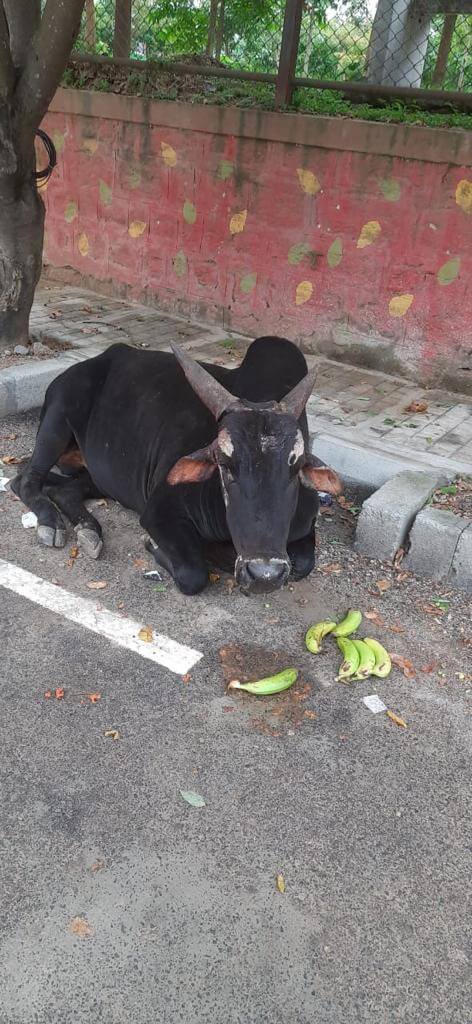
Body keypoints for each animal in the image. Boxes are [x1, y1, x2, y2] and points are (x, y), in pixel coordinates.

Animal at [11, 333, 341, 593]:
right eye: (224, 464)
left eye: (295, 467)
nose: (264, 575)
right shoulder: (158, 512)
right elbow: (193, 574)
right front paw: (155, 547)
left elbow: (303, 564)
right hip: (57, 417)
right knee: (24, 480)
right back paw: (50, 523)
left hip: (105, 476)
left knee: (62, 488)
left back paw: (89, 530)